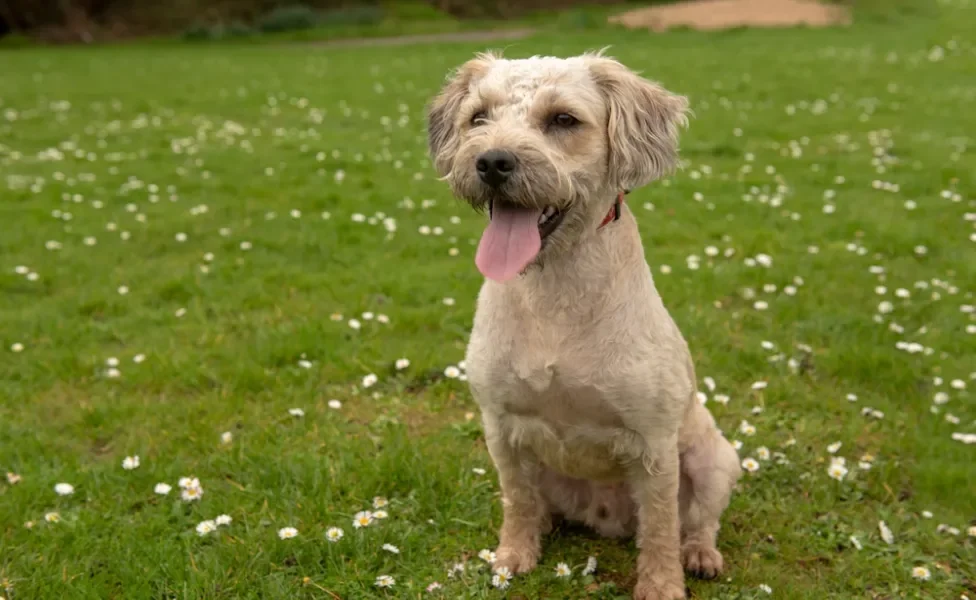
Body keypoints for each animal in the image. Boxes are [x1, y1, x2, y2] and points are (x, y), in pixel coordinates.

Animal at [428, 50, 740, 600]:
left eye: (563, 120)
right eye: (478, 117)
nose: (492, 162)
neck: (553, 292)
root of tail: (608, 518)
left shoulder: (655, 443)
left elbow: (661, 525)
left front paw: (662, 585)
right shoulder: (501, 428)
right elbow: (516, 501)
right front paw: (512, 557)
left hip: (716, 460)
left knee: (699, 520)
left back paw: (700, 554)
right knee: (537, 503)